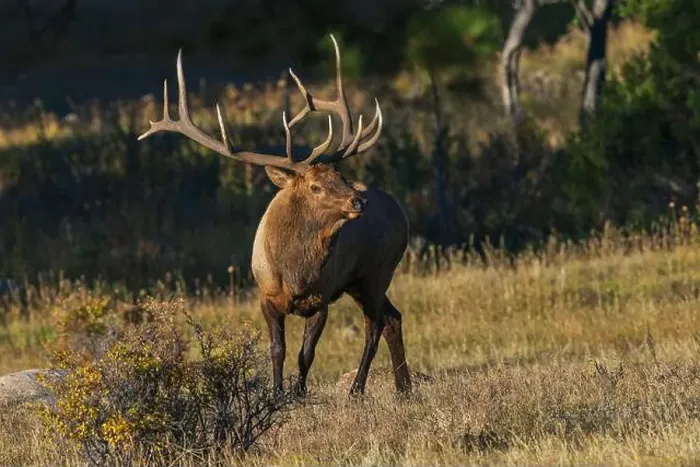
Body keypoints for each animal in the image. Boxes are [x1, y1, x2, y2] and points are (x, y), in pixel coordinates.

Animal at [137, 35, 411, 396]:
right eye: (315, 186)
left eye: (340, 176)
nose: (358, 201)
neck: (294, 273)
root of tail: (400, 211)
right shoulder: (265, 297)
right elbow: (277, 350)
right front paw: (278, 393)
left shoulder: (322, 298)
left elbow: (305, 354)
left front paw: (298, 393)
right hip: (362, 280)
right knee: (392, 318)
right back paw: (404, 388)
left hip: (377, 270)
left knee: (375, 324)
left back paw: (358, 388)